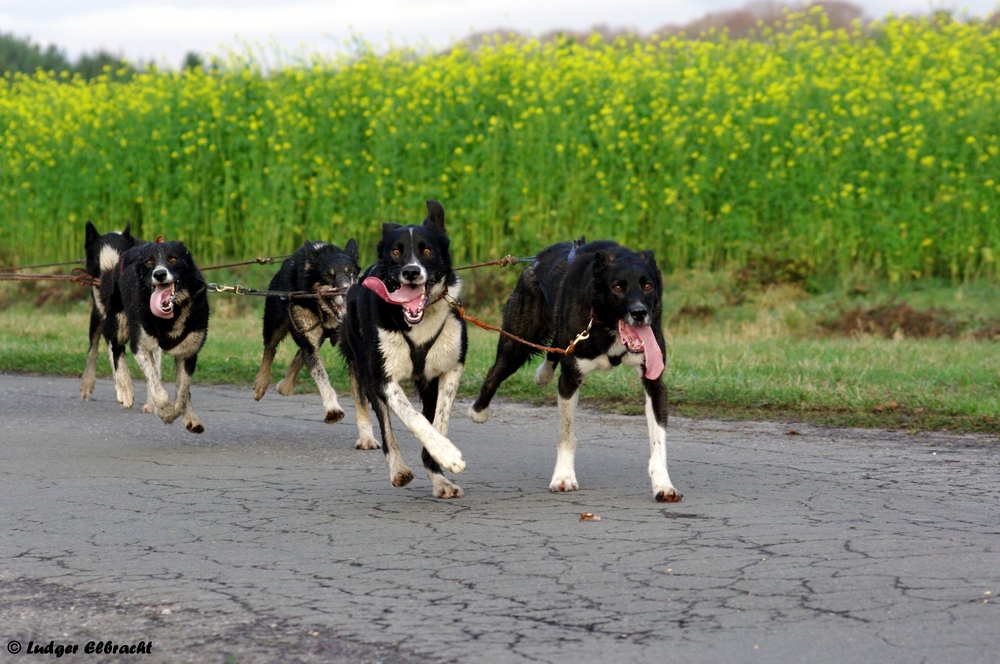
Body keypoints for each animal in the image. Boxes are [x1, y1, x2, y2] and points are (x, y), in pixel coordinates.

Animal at [102, 241, 211, 434]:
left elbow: (182, 394)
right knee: (115, 347)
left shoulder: (188, 353)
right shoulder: (141, 346)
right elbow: (158, 390)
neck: (172, 314)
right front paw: (166, 412)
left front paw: (183, 414)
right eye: (149, 261)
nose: (159, 274)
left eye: (173, 258)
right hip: (119, 320)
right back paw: (125, 388)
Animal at [254, 239, 368, 436]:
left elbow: (360, 395)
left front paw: (367, 435)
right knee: (270, 348)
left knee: (300, 354)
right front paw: (333, 409)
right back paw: (262, 382)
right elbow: (322, 378)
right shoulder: (306, 335)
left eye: (351, 273)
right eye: (328, 275)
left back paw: (286, 385)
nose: (346, 292)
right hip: (275, 323)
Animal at [340, 201, 468, 498]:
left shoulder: (450, 370)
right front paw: (447, 453)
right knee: (387, 432)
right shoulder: (383, 379)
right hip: (368, 373)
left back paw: (440, 481)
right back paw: (398, 469)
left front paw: (439, 456)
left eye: (427, 250)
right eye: (396, 251)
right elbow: (414, 418)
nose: (411, 271)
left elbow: (439, 421)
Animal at [468, 239, 680, 504]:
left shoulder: (654, 383)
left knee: (553, 351)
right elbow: (567, 436)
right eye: (618, 287)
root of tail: (538, 258)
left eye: (648, 285)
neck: (606, 325)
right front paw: (564, 477)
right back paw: (479, 411)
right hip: (517, 342)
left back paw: (542, 374)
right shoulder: (569, 380)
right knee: (494, 373)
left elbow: (658, 443)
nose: (640, 313)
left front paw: (663, 485)